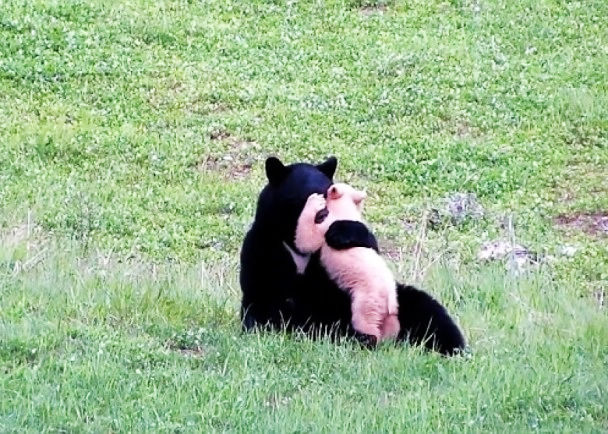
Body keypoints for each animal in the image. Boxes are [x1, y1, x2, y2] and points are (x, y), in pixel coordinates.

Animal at [239, 156, 466, 356]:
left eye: (326, 192)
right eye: (300, 196)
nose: (323, 214)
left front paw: (341, 231)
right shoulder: (264, 246)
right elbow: (264, 286)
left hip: (395, 302)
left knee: (427, 309)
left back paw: (455, 349)